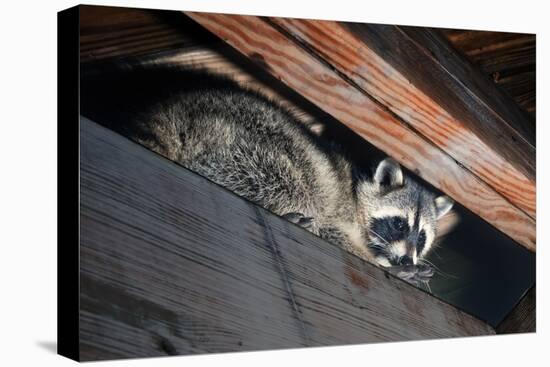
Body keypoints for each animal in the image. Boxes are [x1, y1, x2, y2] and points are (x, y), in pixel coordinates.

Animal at [81, 65, 452, 284]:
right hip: (249, 140)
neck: (357, 195)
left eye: (422, 237)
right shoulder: (339, 211)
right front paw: (388, 266)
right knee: (287, 180)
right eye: (399, 224)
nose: (405, 257)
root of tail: (173, 109)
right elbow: (333, 232)